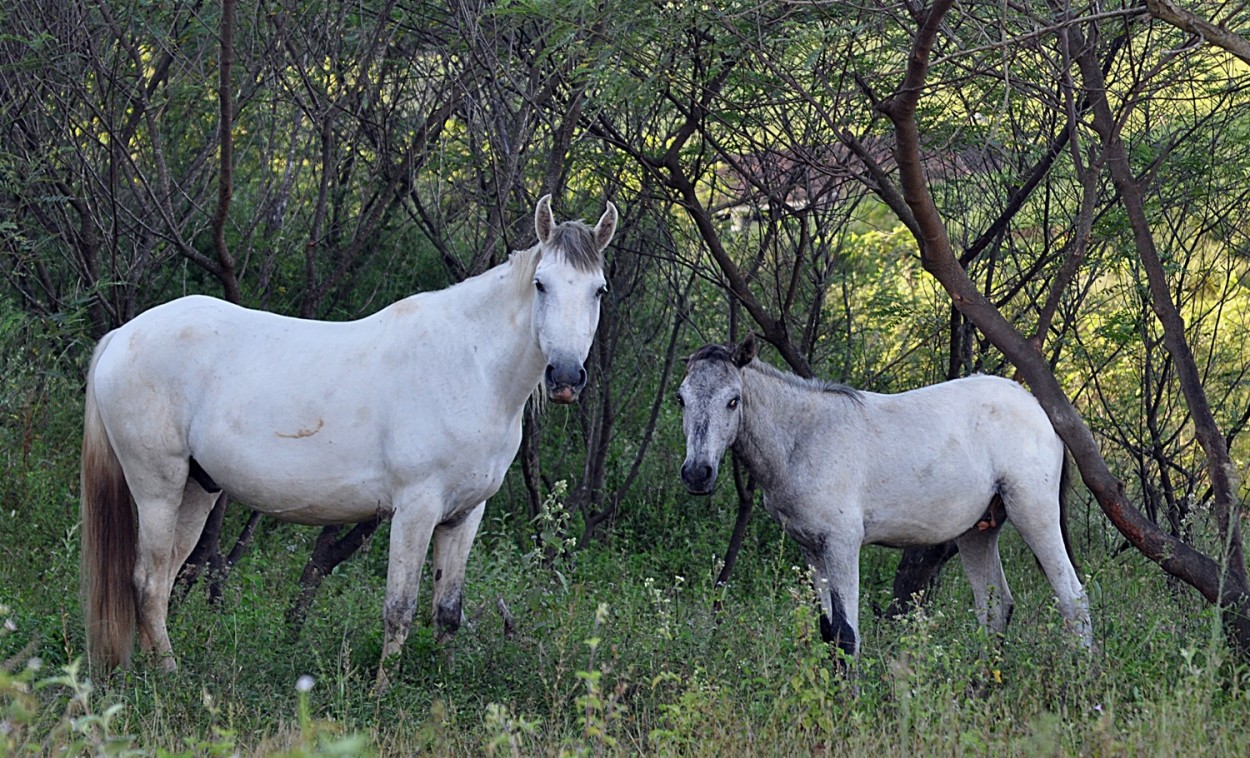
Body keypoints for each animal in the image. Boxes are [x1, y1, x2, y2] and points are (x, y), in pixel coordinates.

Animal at [80, 196, 617, 690]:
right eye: (541, 284)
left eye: (599, 290)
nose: (566, 376)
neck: (471, 365)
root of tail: (123, 336)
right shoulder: (416, 508)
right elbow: (400, 608)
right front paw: (381, 697)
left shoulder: (465, 515)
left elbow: (448, 612)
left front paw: (442, 691)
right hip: (158, 488)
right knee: (148, 582)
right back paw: (169, 679)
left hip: (197, 489)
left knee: (165, 580)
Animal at [680, 337, 1090, 660]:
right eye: (681, 399)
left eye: (734, 401)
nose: (697, 473)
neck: (804, 438)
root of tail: (1038, 408)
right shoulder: (811, 548)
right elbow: (828, 633)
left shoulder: (842, 544)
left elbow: (847, 635)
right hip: (977, 531)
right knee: (995, 608)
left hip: (1033, 511)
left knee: (1073, 599)